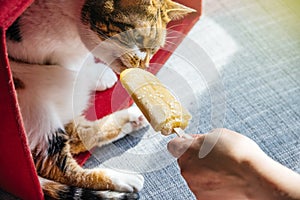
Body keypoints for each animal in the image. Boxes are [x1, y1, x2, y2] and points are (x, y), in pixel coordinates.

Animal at [7, 0, 195, 199]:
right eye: (137, 37)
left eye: (154, 49)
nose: (143, 66)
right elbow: (75, 64)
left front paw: (99, 75)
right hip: (36, 110)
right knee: (56, 167)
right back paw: (124, 178)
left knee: (79, 137)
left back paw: (135, 118)